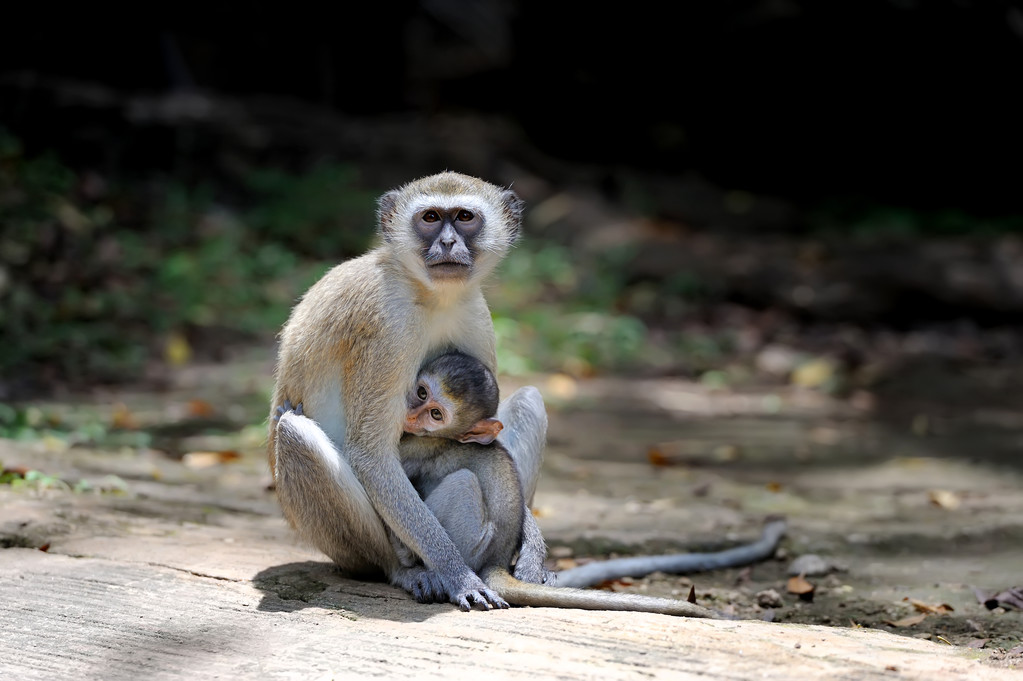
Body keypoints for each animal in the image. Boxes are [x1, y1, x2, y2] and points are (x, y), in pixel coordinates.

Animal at [268, 170, 548, 609]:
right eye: (431, 217)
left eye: (464, 217)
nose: (447, 242)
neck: (429, 295)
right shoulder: (388, 327)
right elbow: (371, 454)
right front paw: (458, 574)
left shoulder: (475, 314)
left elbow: (490, 432)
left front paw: (534, 551)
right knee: (295, 433)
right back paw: (402, 569)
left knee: (530, 399)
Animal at [398, 349, 720, 613]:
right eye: (422, 393)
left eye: (436, 414)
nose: (411, 416)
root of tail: (497, 558)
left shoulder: (418, 444)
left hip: (471, 548)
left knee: (463, 482)